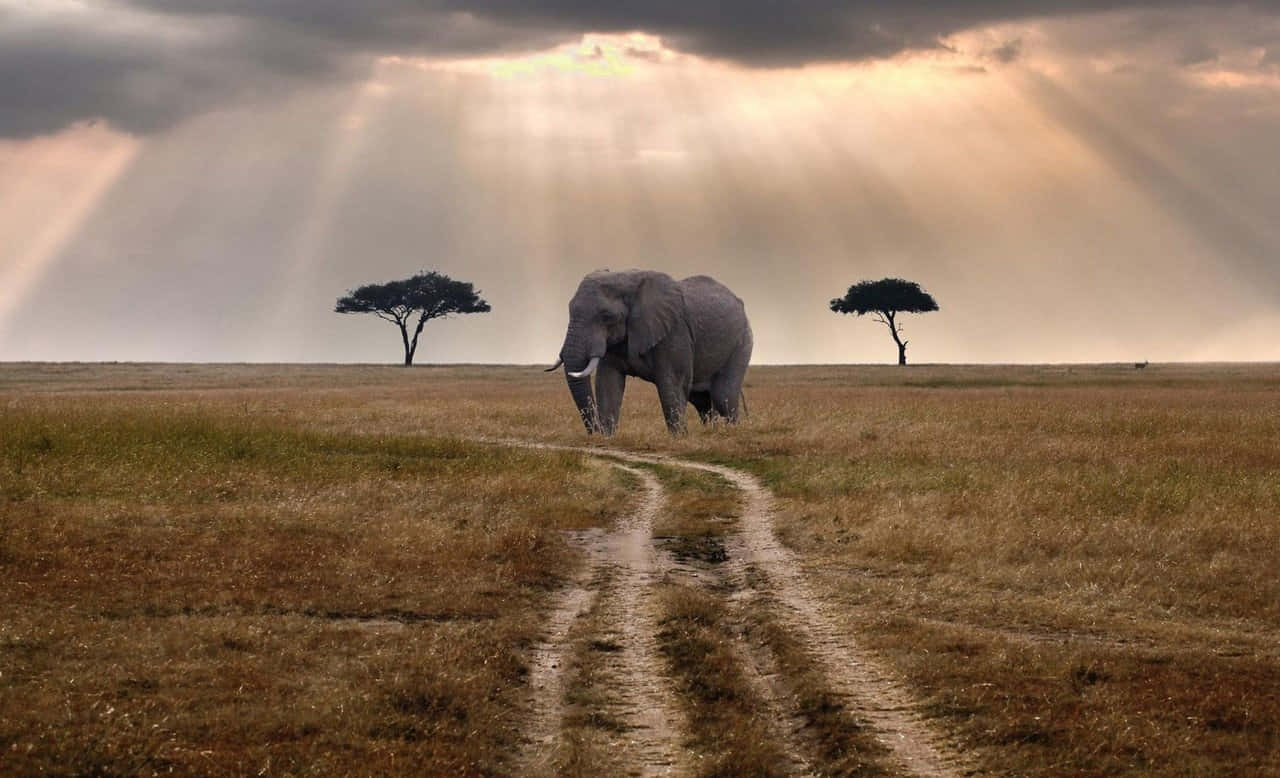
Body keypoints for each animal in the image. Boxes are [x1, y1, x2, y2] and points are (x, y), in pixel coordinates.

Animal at [547, 270, 752, 435]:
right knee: (702, 401)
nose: (595, 432)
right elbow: (608, 383)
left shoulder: (675, 331)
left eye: (607, 316)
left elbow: (672, 384)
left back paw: (732, 433)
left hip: (742, 342)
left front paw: (679, 439)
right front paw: (608, 438)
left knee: (723, 396)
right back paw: (711, 432)